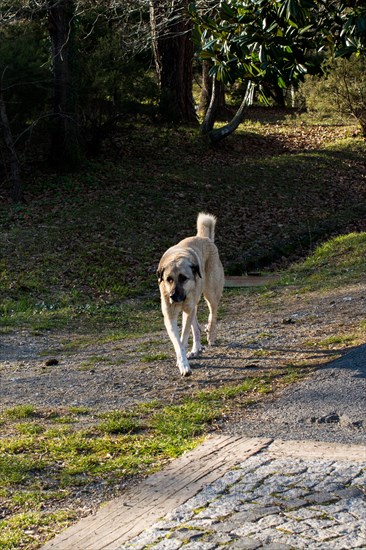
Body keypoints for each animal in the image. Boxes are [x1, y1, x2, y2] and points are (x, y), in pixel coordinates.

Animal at [158, 213, 224, 378]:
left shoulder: (187, 310)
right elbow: (178, 342)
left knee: (213, 313)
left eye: (184, 278)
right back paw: (196, 348)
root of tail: (203, 237)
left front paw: (182, 363)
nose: (173, 297)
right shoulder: (170, 316)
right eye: (169, 279)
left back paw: (210, 334)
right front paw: (182, 363)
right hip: (192, 305)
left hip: (211, 293)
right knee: (196, 328)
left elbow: (183, 338)